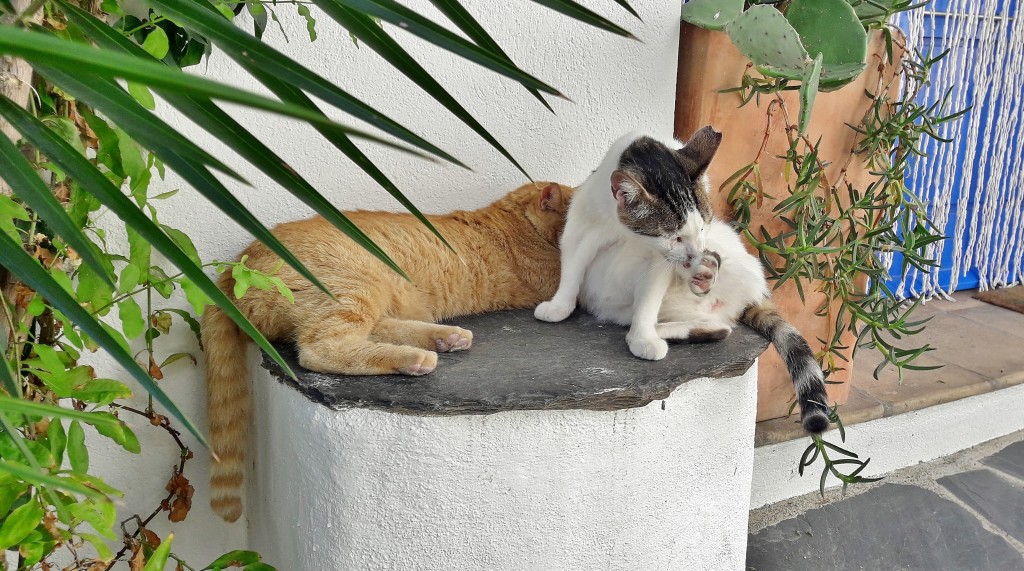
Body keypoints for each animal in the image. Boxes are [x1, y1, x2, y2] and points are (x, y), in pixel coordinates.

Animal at [203, 183, 573, 523]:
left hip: (373, 294)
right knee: (320, 349)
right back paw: (417, 358)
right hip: (355, 287)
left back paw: (445, 338)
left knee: (378, 330)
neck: (513, 220)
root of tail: (235, 265)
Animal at [536, 128, 831, 433]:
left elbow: (649, 300)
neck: (626, 233)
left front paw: (642, 338)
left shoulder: (660, 263)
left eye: (702, 227)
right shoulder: (581, 227)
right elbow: (572, 268)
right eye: (675, 236)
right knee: (719, 327)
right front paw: (559, 307)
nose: (695, 251)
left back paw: (699, 279)